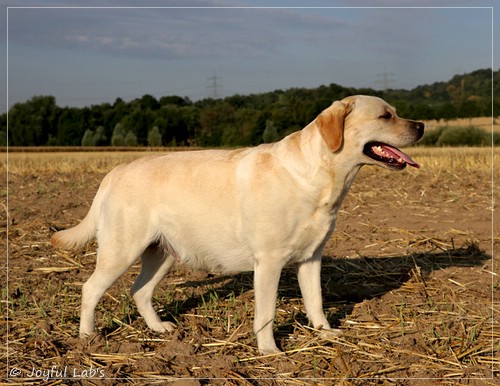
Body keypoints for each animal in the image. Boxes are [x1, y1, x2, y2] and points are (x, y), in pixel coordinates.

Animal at [52, 95, 424, 354]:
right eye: (385, 115)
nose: (421, 125)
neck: (319, 176)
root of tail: (114, 171)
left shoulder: (311, 258)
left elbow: (316, 301)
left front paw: (323, 332)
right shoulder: (269, 262)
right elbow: (266, 313)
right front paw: (270, 351)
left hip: (163, 253)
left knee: (139, 291)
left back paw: (159, 329)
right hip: (121, 251)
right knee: (90, 289)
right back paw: (88, 337)